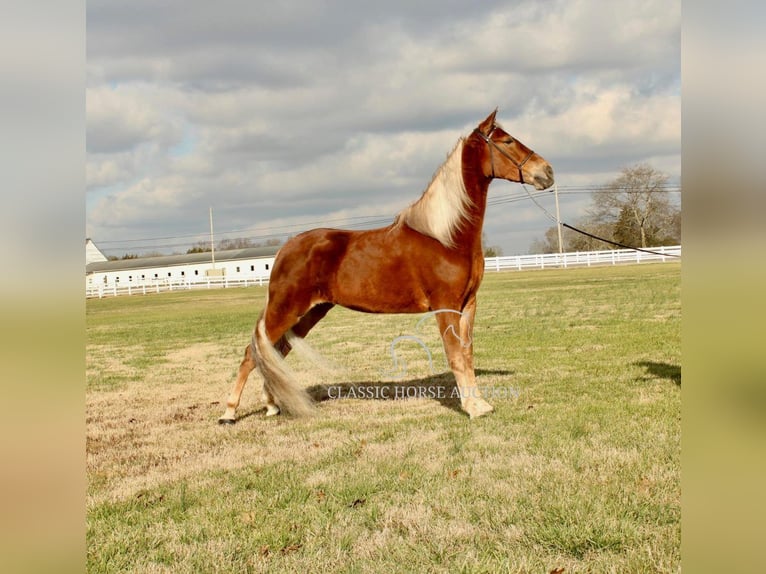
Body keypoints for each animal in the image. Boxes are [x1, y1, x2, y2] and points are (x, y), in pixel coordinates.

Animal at [219, 109, 556, 424]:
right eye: (507, 141)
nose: (547, 172)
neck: (446, 236)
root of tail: (284, 250)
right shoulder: (445, 306)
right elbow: (455, 356)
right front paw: (472, 408)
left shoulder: (468, 304)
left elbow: (467, 353)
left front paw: (480, 404)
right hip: (285, 310)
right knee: (252, 353)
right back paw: (229, 413)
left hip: (310, 312)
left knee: (274, 353)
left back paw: (272, 405)